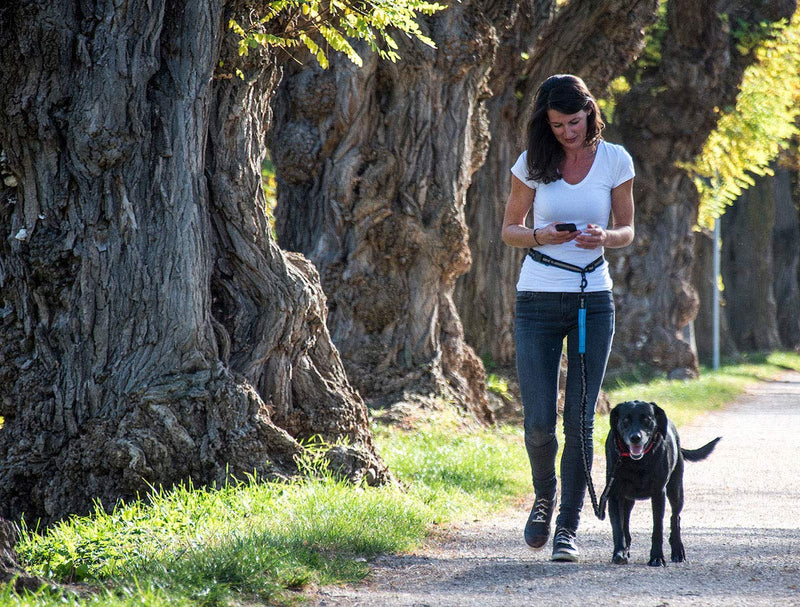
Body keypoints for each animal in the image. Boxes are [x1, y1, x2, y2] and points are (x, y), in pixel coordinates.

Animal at [604, 402, 720, 568]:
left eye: (646, 419)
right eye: (625, 420)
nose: (635, 438)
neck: (637, 462)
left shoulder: (659, 494)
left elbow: (658, 528)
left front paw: (657, 557)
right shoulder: (614, 495)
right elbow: (618, 527)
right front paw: (619, 553)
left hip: (676, 491)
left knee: (675, 518)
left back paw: (678, 551)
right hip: (628, 499)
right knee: (625, 520)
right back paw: (626, 548)